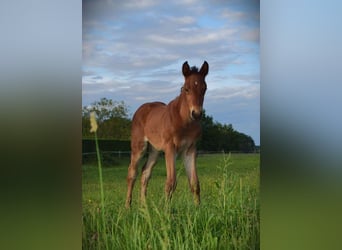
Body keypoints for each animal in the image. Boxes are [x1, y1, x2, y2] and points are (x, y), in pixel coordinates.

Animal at [124, 61, 207, 208]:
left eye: (205, 88)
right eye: (186, 89)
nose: (196, 114)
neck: (185, 122)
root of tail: (142, 108)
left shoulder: (190, 150)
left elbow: (194, 183)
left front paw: (198, 209)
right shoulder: (170, 148)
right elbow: (171, 182)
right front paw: (166, 210)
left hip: (155, 150)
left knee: (145, 172)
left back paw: (144, 207)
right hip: (139, 146)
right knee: (132, 173)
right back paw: (128, 206)